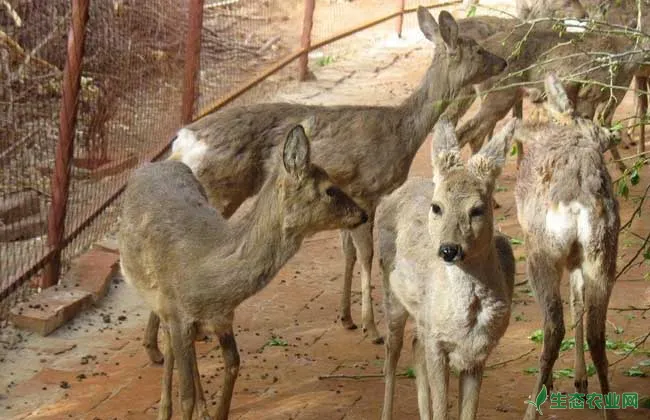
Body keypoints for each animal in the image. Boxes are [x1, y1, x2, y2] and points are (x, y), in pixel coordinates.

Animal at [118, 124, 368, 420]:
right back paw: (166, 407)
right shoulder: (178, 312)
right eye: (330, 190)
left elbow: (233, 363)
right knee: (171, 345)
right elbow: (186, 396)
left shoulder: (222, 317)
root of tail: (155, 164)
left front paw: (215, 413)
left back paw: (197, 408)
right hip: (155, 296)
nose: (363, 214)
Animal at [140, 5, 506, 360]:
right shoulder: (366, 189)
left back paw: (159, 345)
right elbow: (366, 254)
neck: (401, 132)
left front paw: (346, 317)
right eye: (478, 48)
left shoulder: (351, 198)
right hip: (219, 190)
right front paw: (371, 328)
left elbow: (347, 252)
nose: (503, 61)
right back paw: (166, 343)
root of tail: (182, 140)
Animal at [378, 117, 512, 420]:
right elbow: (442, 409)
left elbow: (467, 413)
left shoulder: (478, 353)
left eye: (478, 209)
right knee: (393, 351)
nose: (449, 249)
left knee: (415, 345)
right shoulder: (438, 343)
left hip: (422, 318)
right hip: (390, 290)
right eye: (437, 207)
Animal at [512, 73, 616, 420]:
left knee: (553, 326)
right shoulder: (576, 260)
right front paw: (580, 382)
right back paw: (607, 408)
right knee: (597, 331)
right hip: (603, 252)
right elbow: (577, 301)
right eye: (588, 117)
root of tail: (577, 202)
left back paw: (534, 405)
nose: (611, 133)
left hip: (540, 254)